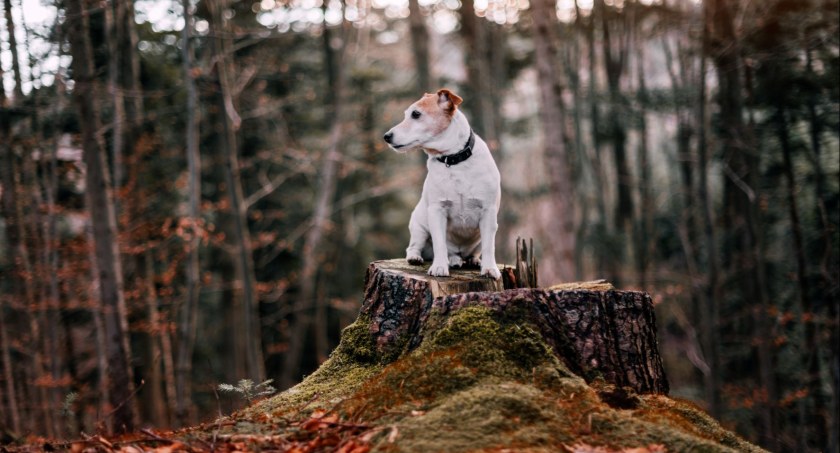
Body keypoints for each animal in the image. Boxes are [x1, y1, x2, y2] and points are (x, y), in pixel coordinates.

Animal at [386, 88, 502, 278]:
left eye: (416, 114)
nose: (386, 136)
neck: (454, 160)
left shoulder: (488, 212)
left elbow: (489, 246)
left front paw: (489, 269)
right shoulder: (436, 211)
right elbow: (439, 243)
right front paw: (439, 267)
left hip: (477, 239)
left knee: (471, 252)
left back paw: (470, 260)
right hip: (419, 227)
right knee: (415, 247)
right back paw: (423, 258)